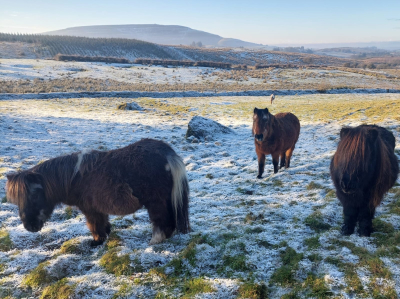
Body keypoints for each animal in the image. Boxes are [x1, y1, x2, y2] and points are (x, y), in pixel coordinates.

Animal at [5, 139, 191, 247]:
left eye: (34, 195)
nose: (29, 227)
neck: (74, 177)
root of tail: (166, 153)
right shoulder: (98, 208)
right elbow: (103, 222)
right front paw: (106, 235)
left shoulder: (90, 209)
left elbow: (94, 225)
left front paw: (97, 241)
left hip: (156, 202)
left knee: (162, 220)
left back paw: (155, 240)